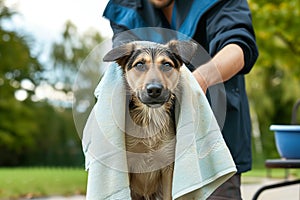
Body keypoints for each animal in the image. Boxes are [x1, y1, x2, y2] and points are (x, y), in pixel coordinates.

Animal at [103, 39, 197, 199]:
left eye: (167, 65)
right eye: (140, 64)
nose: (154, 90)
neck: (150, 117)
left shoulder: (167, 167)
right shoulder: (129, 166)